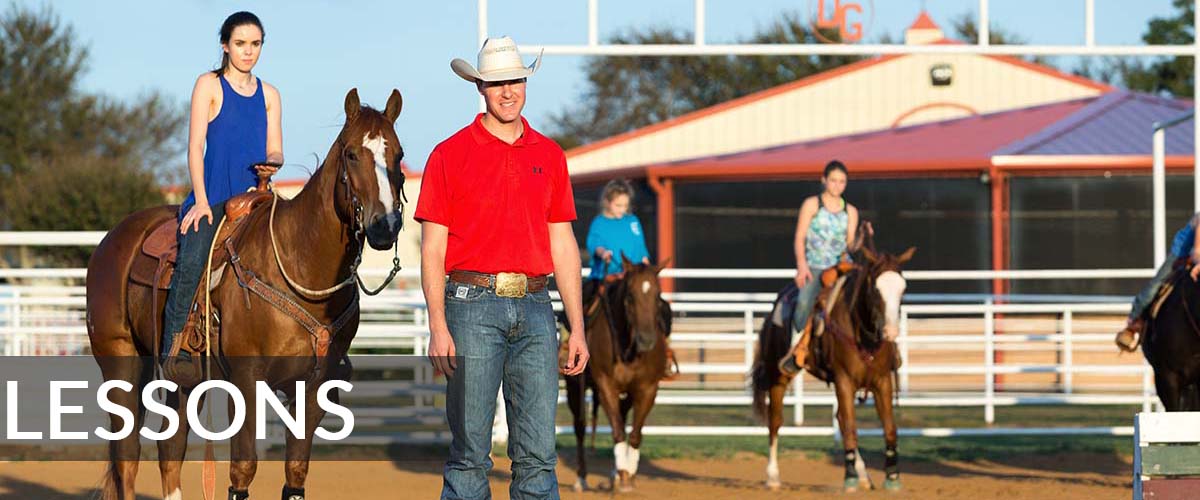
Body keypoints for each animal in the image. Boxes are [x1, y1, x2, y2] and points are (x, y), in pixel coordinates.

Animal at [85, 88, 405, 500]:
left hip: (184, 380)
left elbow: (296, 472)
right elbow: (243, 469)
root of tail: (112, 240)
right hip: (120, 360)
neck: (299, 267)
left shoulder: (313, 387)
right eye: (351, 153)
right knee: (127, 458)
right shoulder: (247, 381)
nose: (385, 225)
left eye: (399, 154)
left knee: (170, 450)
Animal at [564, 257, 671, 493]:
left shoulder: (648, 388)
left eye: (658, 295)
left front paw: (628, 474)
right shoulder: (606, 386)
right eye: (629, 296)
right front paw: (623, 472)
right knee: (580, 426)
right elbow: (617, 430)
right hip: (574, 386)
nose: (646, 340)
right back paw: (581, 478)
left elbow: (635, 433)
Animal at [751, 245, 914, 493]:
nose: (890, 332)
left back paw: (864, 475)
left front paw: (892, 477)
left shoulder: (882, 381)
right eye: (875, 288)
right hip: (778, 375)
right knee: (775, 421)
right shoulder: (844, 380)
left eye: (902, 288)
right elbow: (851, 428)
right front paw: (849, 479)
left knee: (840, 419)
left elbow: (889, 428)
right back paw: (773, 477)